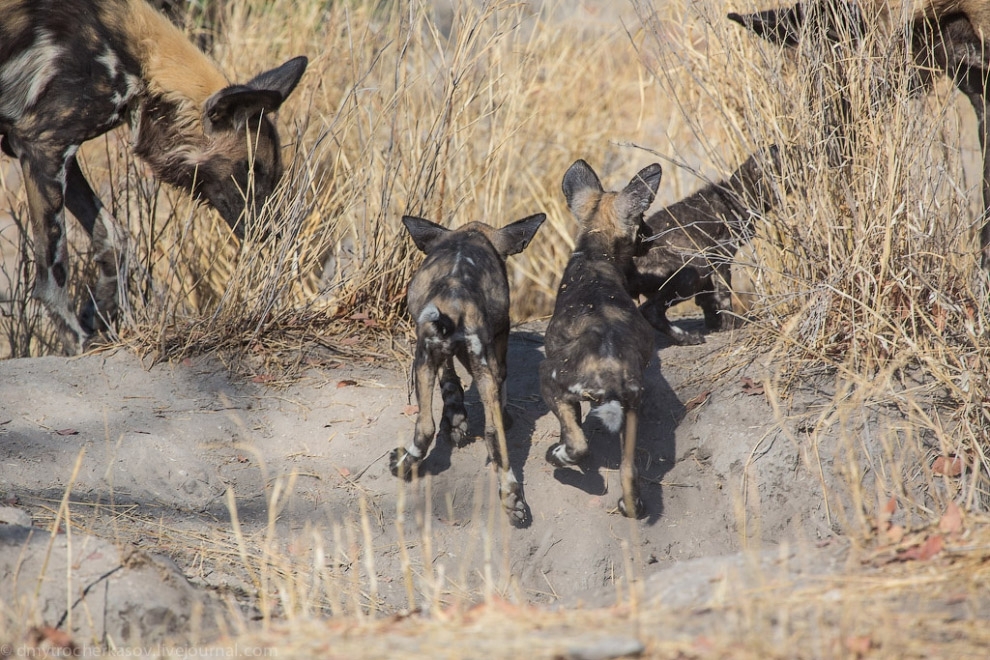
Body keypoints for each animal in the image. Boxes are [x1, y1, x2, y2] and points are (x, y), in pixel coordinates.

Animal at [0, 0, 308, 356]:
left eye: (272, 175)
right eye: (250, 168)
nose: (272, 231)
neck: (137, 60)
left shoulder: (55, 154)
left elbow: (115, 239)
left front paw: (100, 314)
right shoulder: (43, 146)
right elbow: (54, 274)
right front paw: (78, 343)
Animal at [390, 213, 548, 524]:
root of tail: (456, 300)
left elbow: (451, 379)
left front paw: (455, 417)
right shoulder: (489, 349)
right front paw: (458, 418)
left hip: (428, 360)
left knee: (428, 427)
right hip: (469, 364)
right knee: (488, 431)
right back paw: (512, 499)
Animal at [540, 161, 664, 520]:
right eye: (643, 223)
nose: (652, 234)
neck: (596, 250)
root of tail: (608, 366)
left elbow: (573, 430)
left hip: (550, 379)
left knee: (578, 446)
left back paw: (558, 457)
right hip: (632, 410)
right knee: (629, 472)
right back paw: (631, 505)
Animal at [636, 145, 784, 346]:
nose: (775, 145)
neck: (734, 196)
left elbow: (708, 300)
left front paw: (715, 325)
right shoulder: (720, 255)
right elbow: (724, 294)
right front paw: (730, 325)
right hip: (693, 271)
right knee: (650, 310)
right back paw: (688, 338)